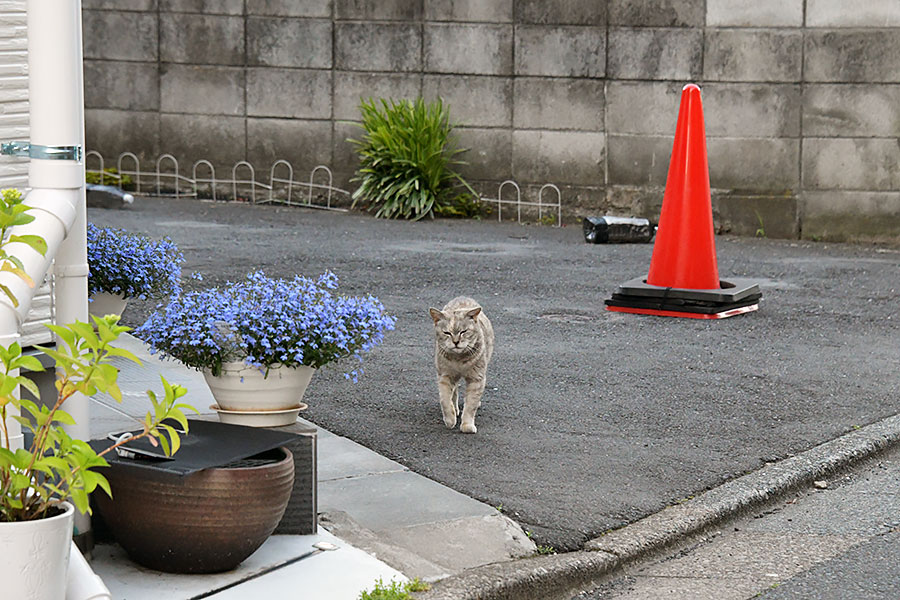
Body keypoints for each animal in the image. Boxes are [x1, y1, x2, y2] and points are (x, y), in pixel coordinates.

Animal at [428, 296, 492, 434]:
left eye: (464, 331)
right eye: (447, 333)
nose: (456, 342)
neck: (459, 360)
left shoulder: (477, 378)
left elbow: (471, 405)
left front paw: (467, 425)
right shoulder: (445, 376)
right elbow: (445, 400)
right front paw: (450, 419)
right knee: (454, 391)